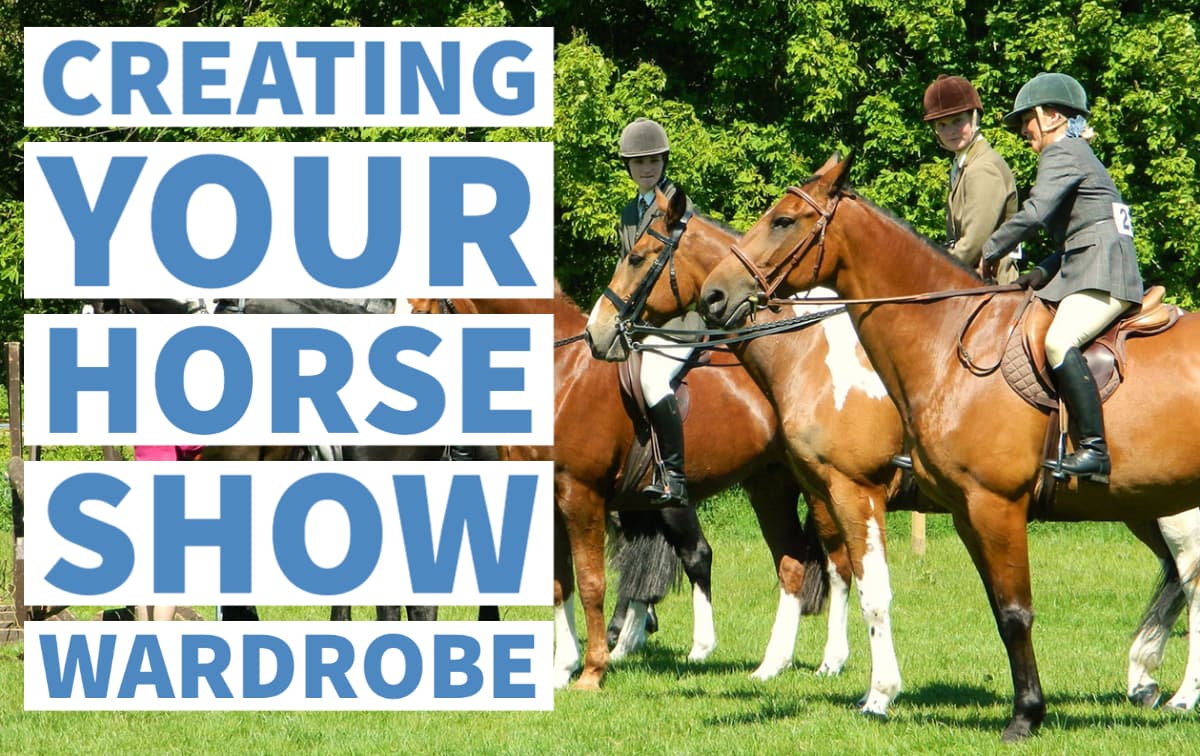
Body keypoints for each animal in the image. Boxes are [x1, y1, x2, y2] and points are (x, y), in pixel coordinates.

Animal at [410, 286, 832, 690]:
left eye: (424, 310)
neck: (562, 373)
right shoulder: (551, 503)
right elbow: (559, 584)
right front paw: (562, 669)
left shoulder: (581, 497)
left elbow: (591, 582)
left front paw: (592, 672)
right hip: (768, 485)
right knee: (792, 564)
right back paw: (772, 665)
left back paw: (826, 663)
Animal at [699, 154, 1200, 740]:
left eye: (783, 220)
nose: (714, 295)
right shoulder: (962, 512)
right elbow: (990, 609)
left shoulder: (984, 506)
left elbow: (1011, 612)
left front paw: (1023, 716)